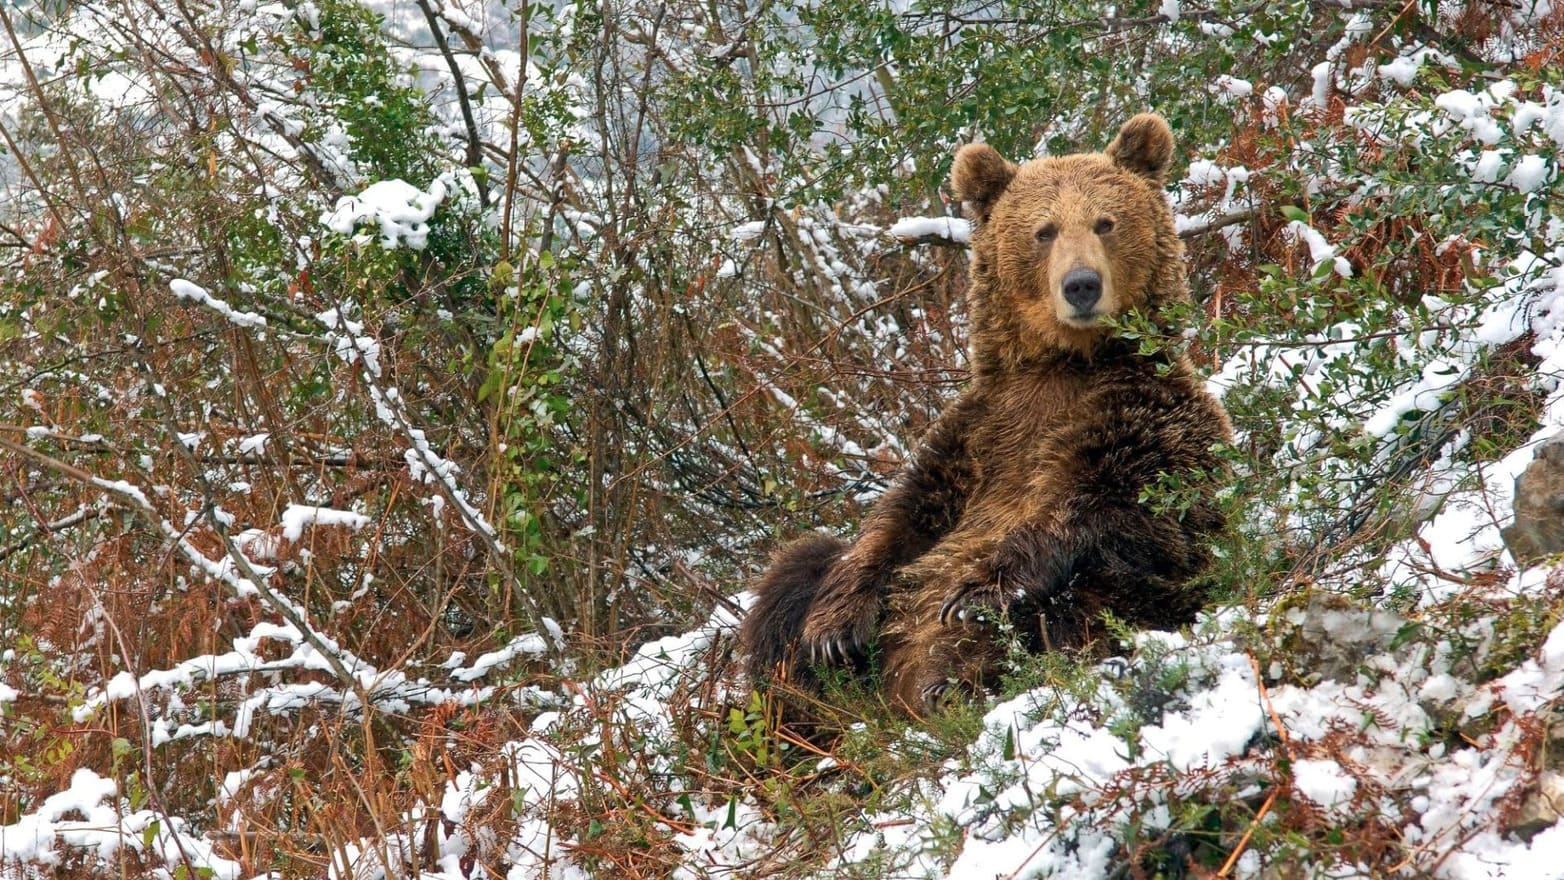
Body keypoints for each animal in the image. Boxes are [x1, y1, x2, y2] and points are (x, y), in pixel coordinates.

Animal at [740, 114, 1233, 715]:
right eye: (1044, 230)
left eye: (1105, 222)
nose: (1081, 284)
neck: (1066, 365)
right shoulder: (977, 435)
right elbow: (900, 519)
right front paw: (833, 629)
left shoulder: (1148, 420)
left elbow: (1115, 508)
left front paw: (974, 591)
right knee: (796, 570)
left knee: (1088, 600)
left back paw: (952, 681)